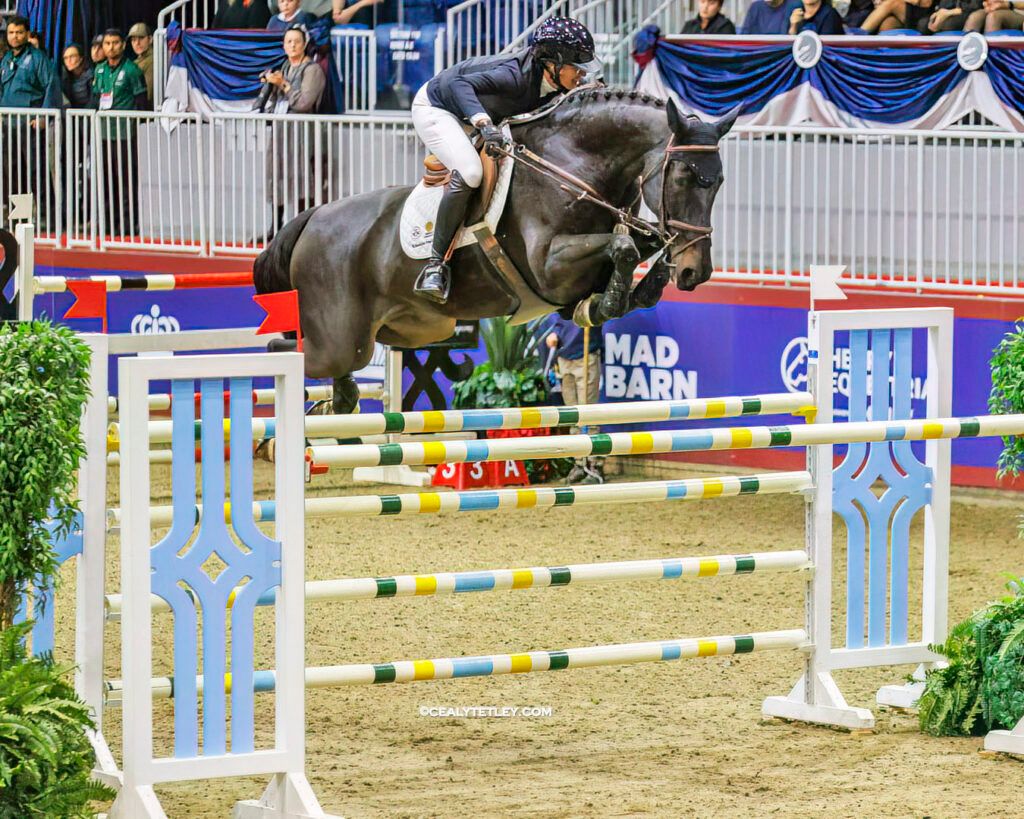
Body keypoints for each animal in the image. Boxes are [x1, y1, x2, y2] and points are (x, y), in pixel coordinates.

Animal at [254, 88, 735, 413]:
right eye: (684, 176)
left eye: (720, 181)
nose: (697, 272)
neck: (574, 168)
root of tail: (312, 218)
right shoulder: (549, 265)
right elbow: (622, 248)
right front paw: (611, 299)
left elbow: (637, 253)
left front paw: (625, 293)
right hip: (339, 339)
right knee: (289, 352)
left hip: (411, 330)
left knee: (339, 376)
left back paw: (336, 404)